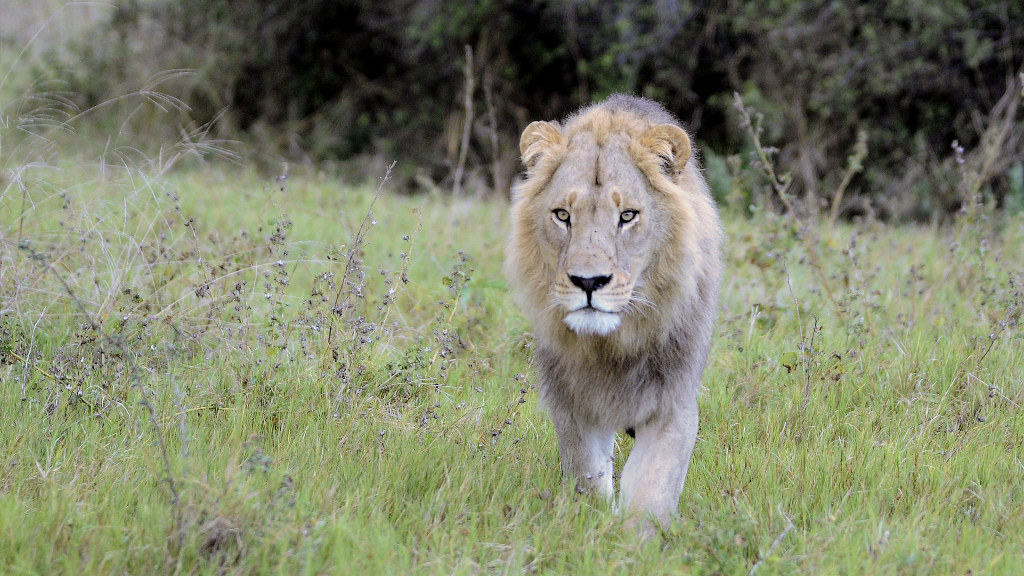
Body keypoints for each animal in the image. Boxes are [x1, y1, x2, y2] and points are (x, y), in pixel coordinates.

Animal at [504, 94, 723, 533]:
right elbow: (586, 474)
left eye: (627, 216)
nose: (589, 282)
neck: (610, 344)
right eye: (563, 215)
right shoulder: (572, 402)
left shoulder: (673, 403)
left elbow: (651, 492)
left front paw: (633, 540)